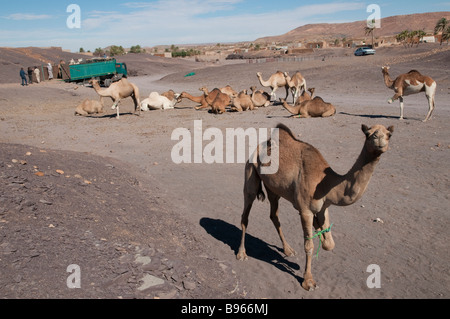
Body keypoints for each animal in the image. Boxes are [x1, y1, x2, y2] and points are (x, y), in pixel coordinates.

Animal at [239, 123, 394, 292]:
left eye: (389, 134)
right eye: (368, 133)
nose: (379, 140)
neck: (326, 184)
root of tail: (258, 148)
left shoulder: (323, 208)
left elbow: (329, 244)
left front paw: (320, 232)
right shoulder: (305, 210)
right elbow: (309, 245)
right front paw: (308, 281)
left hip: (273, 188)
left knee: (274, 215)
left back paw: (288, 250)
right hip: (251, 173)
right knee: (246, 214)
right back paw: (241, 254)